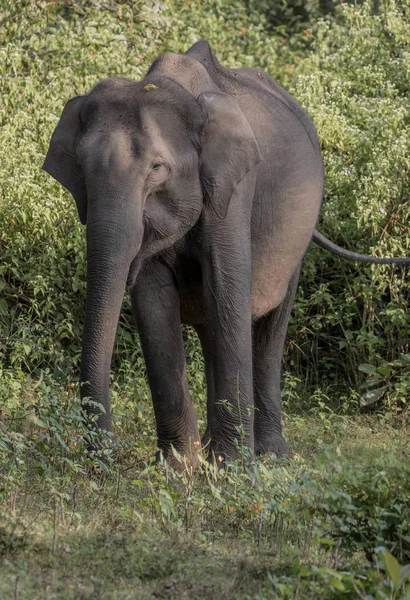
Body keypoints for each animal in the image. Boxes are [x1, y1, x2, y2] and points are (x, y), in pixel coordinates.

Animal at [43, 41, 410, 468]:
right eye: (81, 171)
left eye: (157, 167)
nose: (103, 460)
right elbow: (154, 300)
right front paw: (177, 467)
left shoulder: (234, 187)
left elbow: (226, 286)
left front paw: (232, 468)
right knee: (211, 327)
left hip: (298, 239)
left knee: (268, 328)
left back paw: (269, 455)